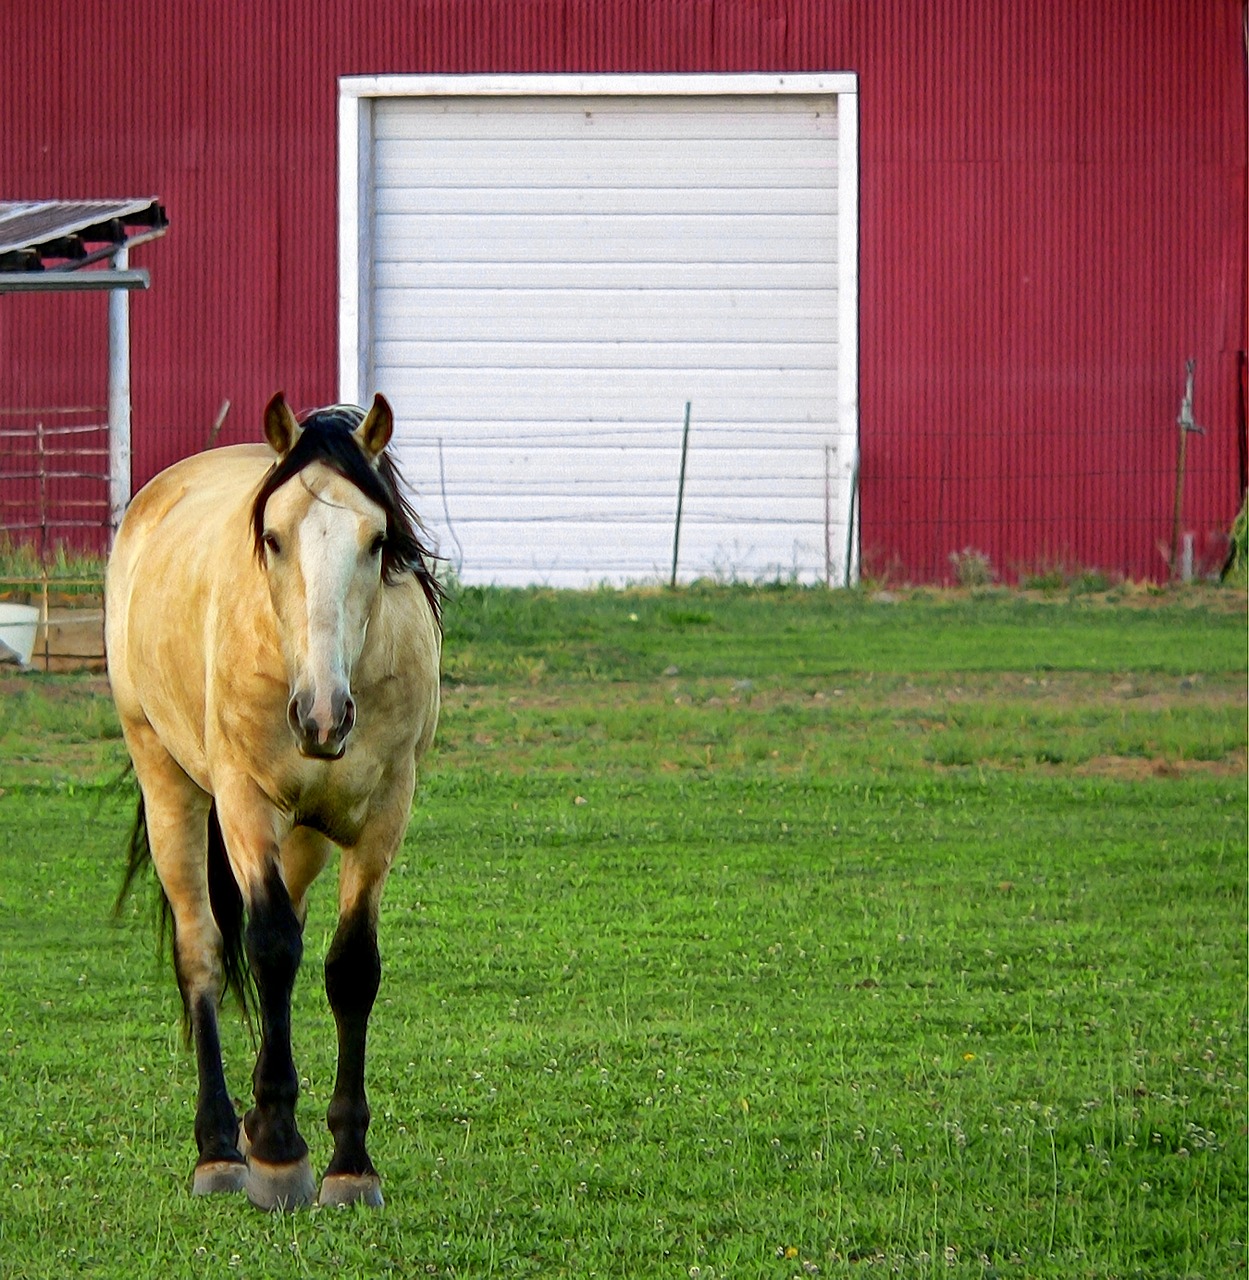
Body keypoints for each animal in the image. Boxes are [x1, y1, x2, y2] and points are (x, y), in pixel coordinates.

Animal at [107, 391, 442, 1208]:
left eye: (378, 539)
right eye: (273, 537)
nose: (322, 716)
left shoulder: (384, 814)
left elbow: (349, 966)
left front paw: (349, 1163)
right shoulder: (245, 805)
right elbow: (268, 947)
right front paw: (285, 1154)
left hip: (308, 835)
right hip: (169, 785)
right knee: (204, 951)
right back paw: (222, 1150)